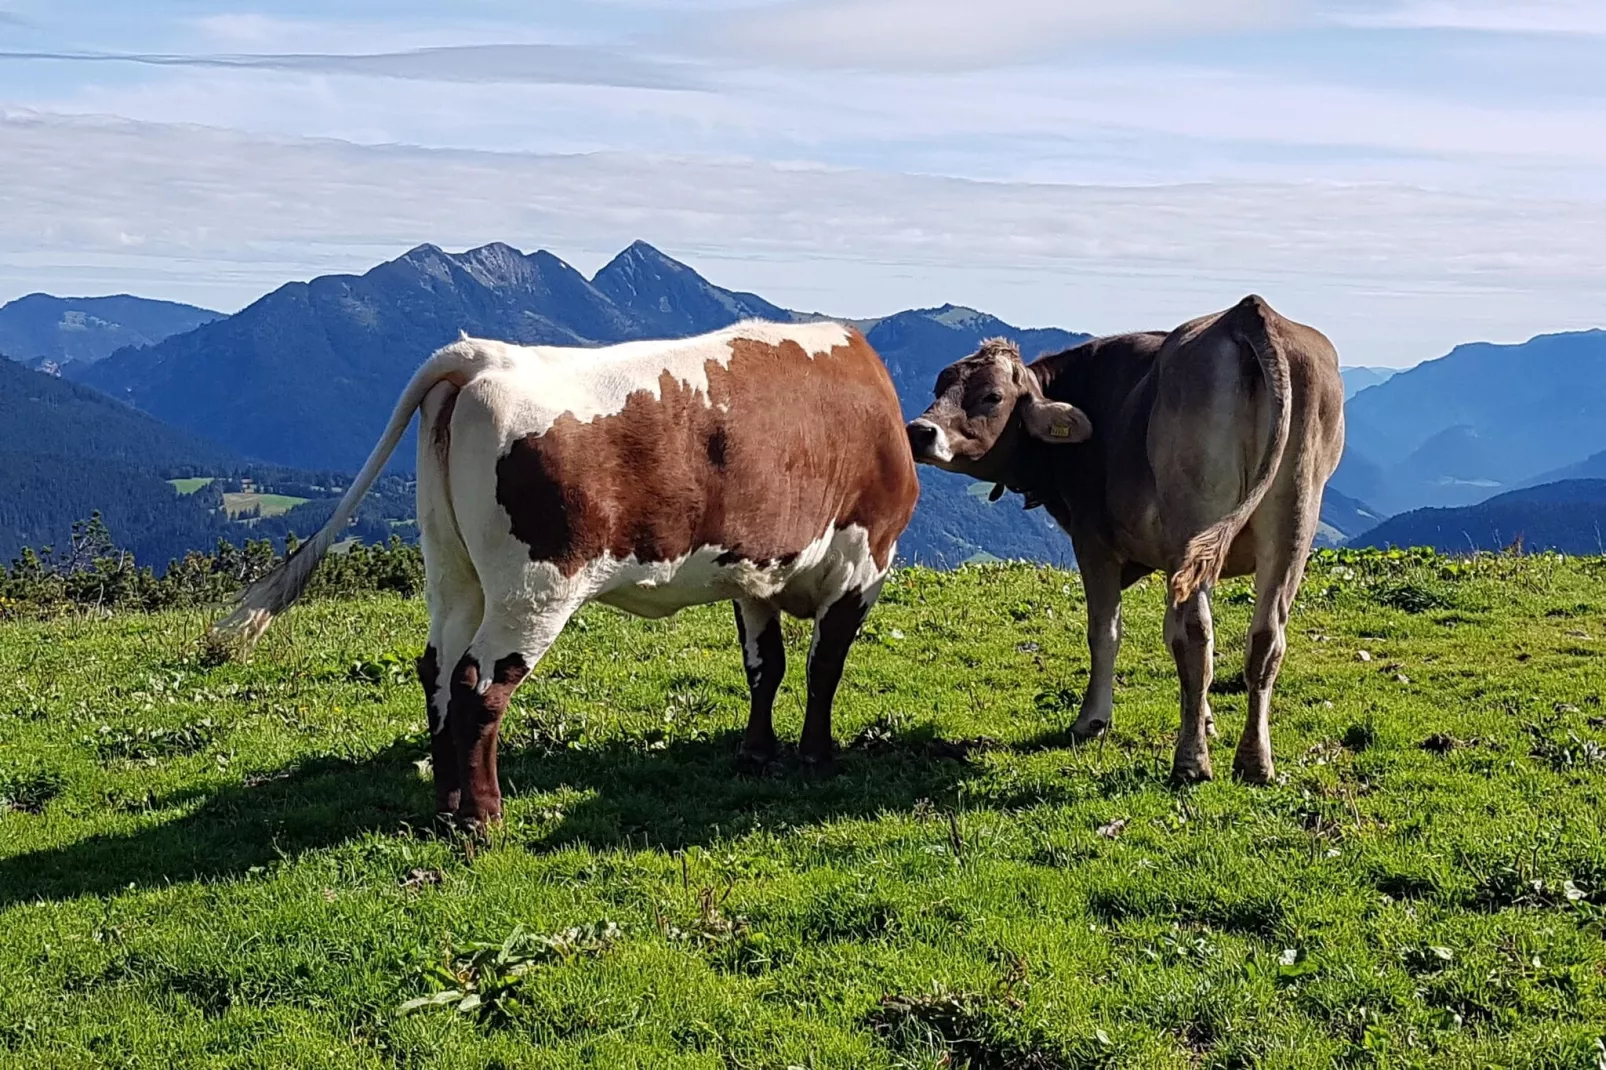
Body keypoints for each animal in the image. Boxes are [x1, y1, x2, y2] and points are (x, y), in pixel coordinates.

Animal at [211, 321, 918, 819]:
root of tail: (484, 356)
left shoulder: (756, 574)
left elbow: (764, 667)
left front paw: (756, 752)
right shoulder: (862, 564)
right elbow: (823, 669)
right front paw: (816, 756)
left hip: (452, 571)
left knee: (438, 669)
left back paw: (446, 805)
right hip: (534, 588)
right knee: (479, 683)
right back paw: (482, 819)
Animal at [912, 295, 1349, 780]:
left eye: (992, 396)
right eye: (939, 387)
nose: (918, 431)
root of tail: (1248, 311)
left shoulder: (1093, 540)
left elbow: (1106, 632)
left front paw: (1091, 719)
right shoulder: (1179, 558)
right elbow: (1173, 634)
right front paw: (1206, 719)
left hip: (1196, 510)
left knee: (1197, 636)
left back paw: (1191, 761)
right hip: (1293, 518)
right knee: (1265, 636)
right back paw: (1254, 761)